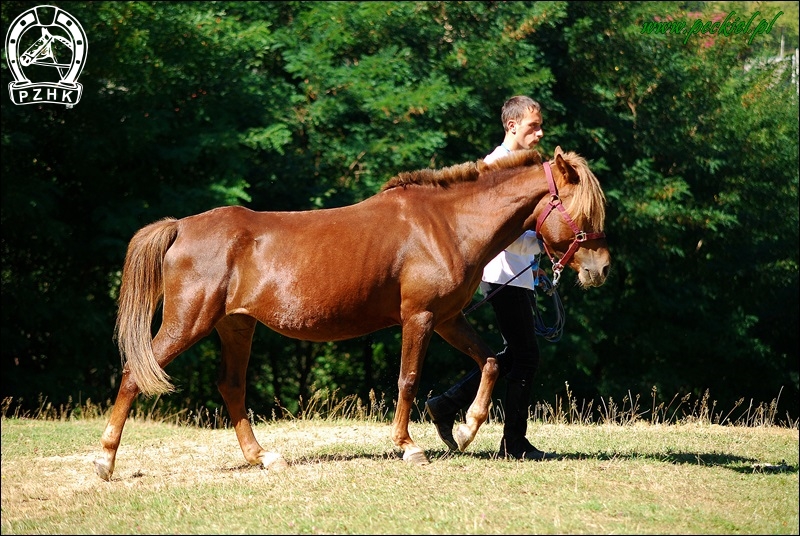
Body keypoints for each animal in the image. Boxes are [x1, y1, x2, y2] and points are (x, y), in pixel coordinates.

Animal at [94, 144, 608, 480]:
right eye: (584, 212)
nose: (600, 270)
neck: (446, 224)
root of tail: (180, 227)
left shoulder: (447, 319)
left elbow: (491, 362)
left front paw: (463, 429)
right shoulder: (420, 318)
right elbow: (407, 380)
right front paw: (409, 447)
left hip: (236, 327)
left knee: (231, 387)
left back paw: (264, 457)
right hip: (189, 322)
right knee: (135, 374)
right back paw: (105, 460)